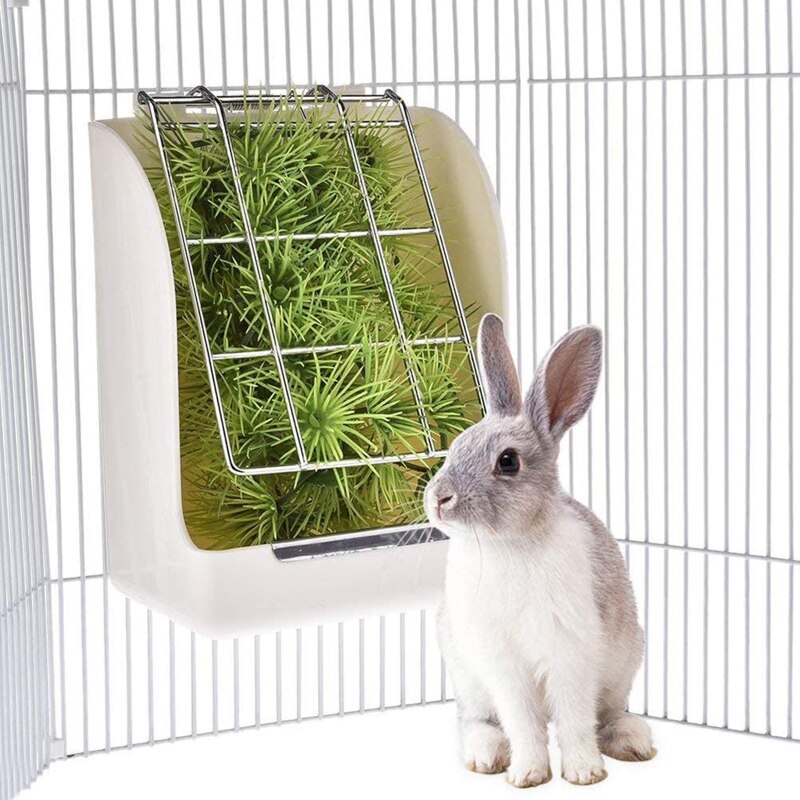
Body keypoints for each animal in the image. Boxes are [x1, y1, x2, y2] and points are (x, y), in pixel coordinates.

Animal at [424, 314, 654, 788]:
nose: (438, 499)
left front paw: (584, 773)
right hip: (467, 678)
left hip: (623, 667)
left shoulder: (571, 652)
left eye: (508, 461)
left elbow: (574, 718)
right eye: (455, 446)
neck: (509, 544)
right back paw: (486, 756)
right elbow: (522, 721)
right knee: (475, 720)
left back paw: (633, 741)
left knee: (608, 714)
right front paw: (527, 774)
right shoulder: (502, 664)